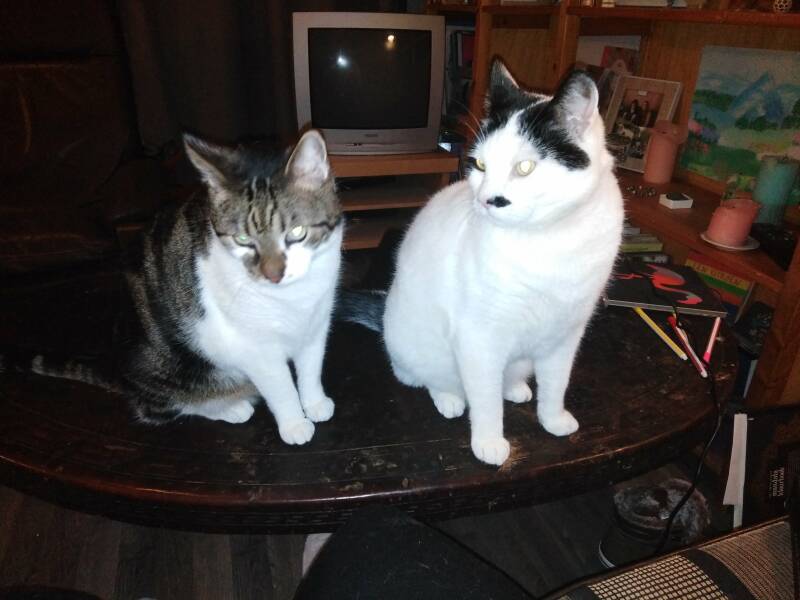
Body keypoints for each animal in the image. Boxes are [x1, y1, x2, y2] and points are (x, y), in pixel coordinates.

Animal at [3, 130, 343, 446]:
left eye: (296, 232)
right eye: (243, 239)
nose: (273, 276)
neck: (293, 297)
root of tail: (119, 370)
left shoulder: (317, 323)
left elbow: (311, 368)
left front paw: (314, 403)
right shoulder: (256, 348)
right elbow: (280, 387)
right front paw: (294, 423)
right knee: (158, 407)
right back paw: (231, 407)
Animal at [341, 61, 623, 465]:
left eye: (525, 167)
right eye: (478, 164)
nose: (489, 200)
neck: (549, 239)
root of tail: (385, 313)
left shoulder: (567, 334)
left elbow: (557, 382)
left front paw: (553, 419)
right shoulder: (480, 337)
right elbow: (486, 401)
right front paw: (489, 442)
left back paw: (515, 386)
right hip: (420, 347)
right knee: (421, 376)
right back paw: (449, 397)